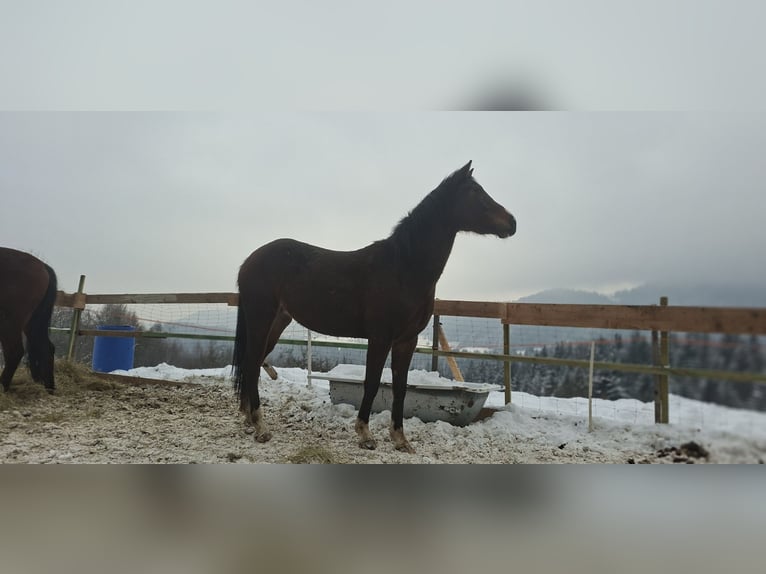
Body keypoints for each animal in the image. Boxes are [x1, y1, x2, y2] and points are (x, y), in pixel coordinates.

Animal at [0, 247, 58, 392]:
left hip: (11, 321)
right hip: (31, 323)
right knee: (46, 347)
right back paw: (49, 388)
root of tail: (43, 266)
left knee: (14, 352)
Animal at [232, 161, 516, 453]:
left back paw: (248, 419)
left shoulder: (407, 340)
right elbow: (371, 383)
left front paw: (400, 439)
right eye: (475, 192)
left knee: (252, 363)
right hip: (261, 319)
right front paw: (365, 434)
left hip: (277, 321)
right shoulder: (380, 338)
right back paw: (260, 426)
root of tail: (248, 262)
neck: (404, 267)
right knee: (252, 363)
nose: (512, 222)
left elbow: (400, 387)